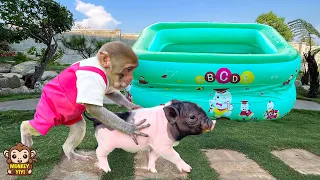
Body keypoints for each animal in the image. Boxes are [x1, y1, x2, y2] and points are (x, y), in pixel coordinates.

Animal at [20, 41, 150, 162]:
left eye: (132, 70)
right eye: (129, 69)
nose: (130, 78)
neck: (102, 68)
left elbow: (111, 93)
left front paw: (132, 106)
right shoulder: (91, 78)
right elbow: (95, 109)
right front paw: (130, 128)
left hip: (70, 116)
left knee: (79, 126)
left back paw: (71, 154)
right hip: (50, 107)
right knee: (40, 124)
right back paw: (25, 130)